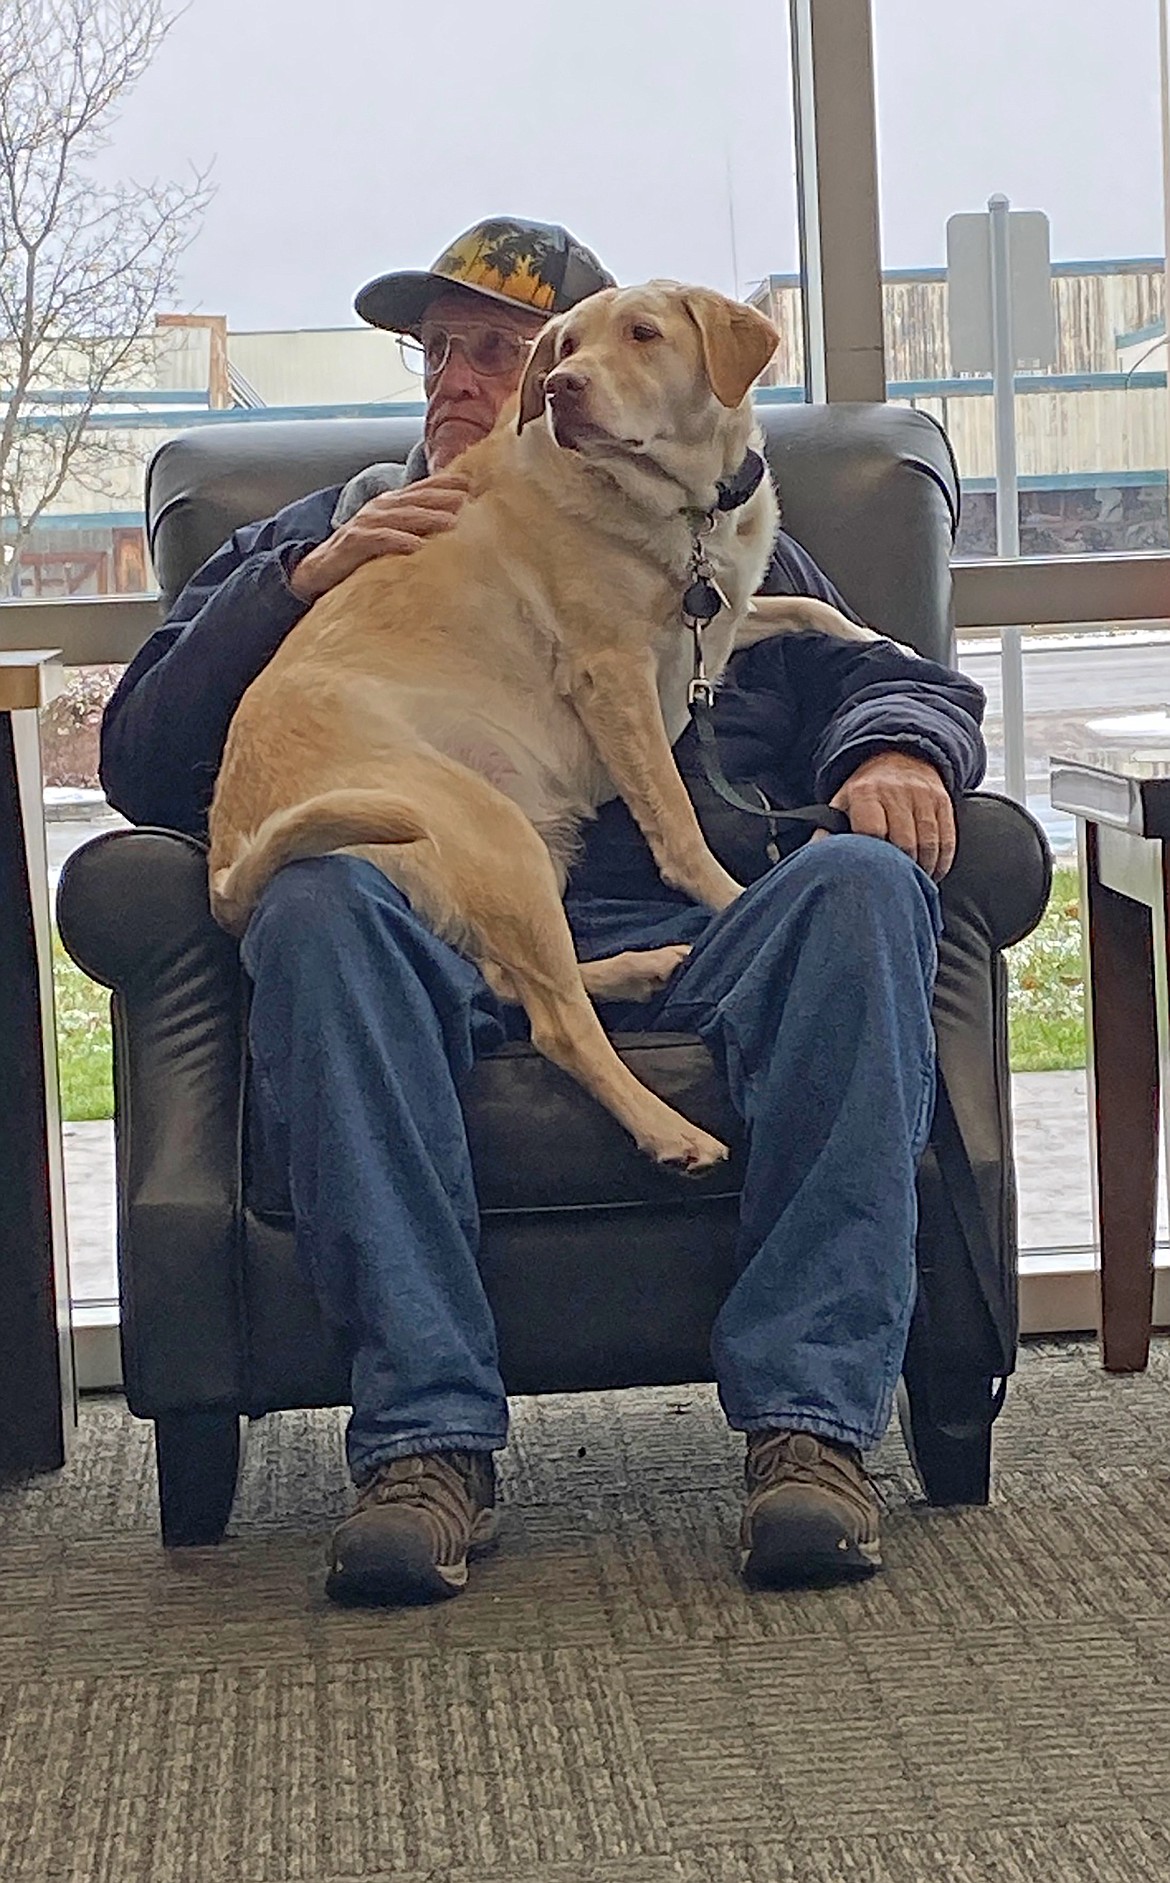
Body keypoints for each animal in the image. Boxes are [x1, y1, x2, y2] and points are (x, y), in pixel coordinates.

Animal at [207, 276, 859, 1167]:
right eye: (566, 346)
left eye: (643, 334)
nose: (559, 389)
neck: (685, 507)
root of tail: (228, 860)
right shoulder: (615, 674)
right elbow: (678, 820)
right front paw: (733, 897)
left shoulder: (714, 625)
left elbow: (804, 608)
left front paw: (877, 640)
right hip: (493, 838)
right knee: (556, 1024)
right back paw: (670, 1127)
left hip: (524, 853)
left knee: (517, 981)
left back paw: (644, 967)